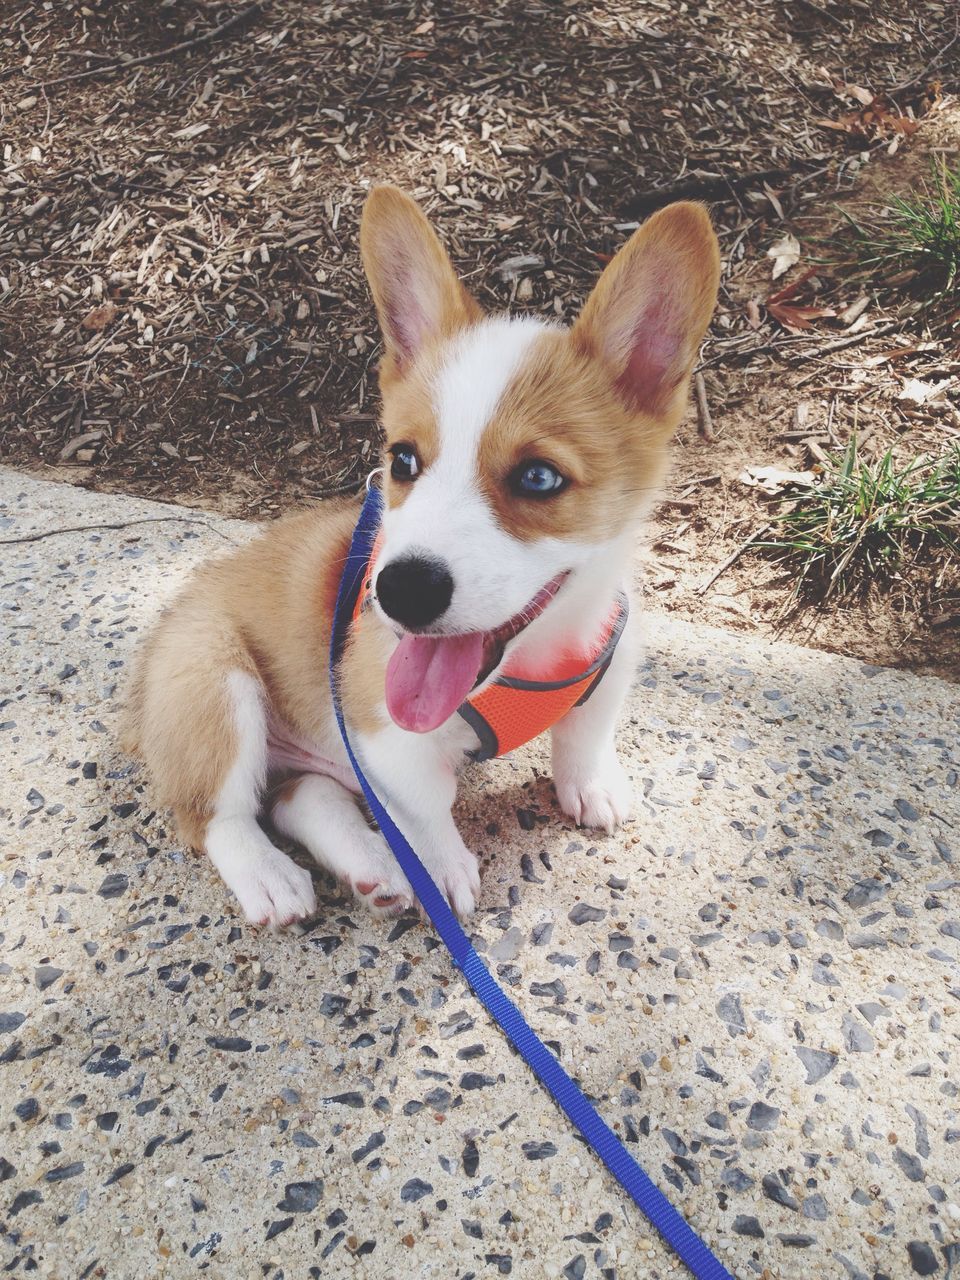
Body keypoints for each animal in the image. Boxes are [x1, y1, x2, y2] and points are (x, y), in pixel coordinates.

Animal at [120, 185, 716, 926]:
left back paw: (372, 867)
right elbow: (428, 811)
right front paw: (443, 870)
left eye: (538, 478)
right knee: (216, 816)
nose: (398, 593)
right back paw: (272, 878)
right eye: (403, 460)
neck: (534, 655)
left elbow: (584, 735)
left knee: (298, 796)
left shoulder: (610, 663)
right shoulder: (384, 732)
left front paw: (591, 786)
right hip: (212, 683)